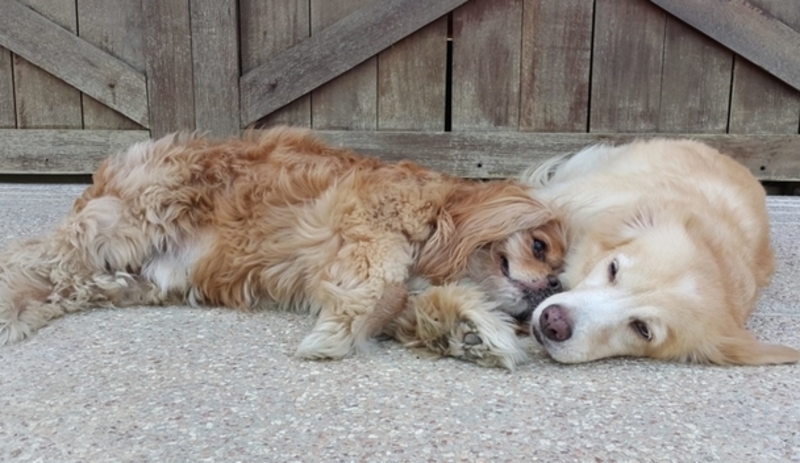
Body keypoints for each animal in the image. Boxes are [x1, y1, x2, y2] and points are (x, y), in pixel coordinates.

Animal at [1, 127, 564, 370]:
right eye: (539, 245)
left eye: (559, 267)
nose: (553, 285)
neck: (439, 216)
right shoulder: (368, 231)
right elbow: (383, 288)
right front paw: (334, 337)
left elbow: (421, 306)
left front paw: (470, 333)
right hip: (123, 225)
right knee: (27, 255)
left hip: (123, 279)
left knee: (58, 285)